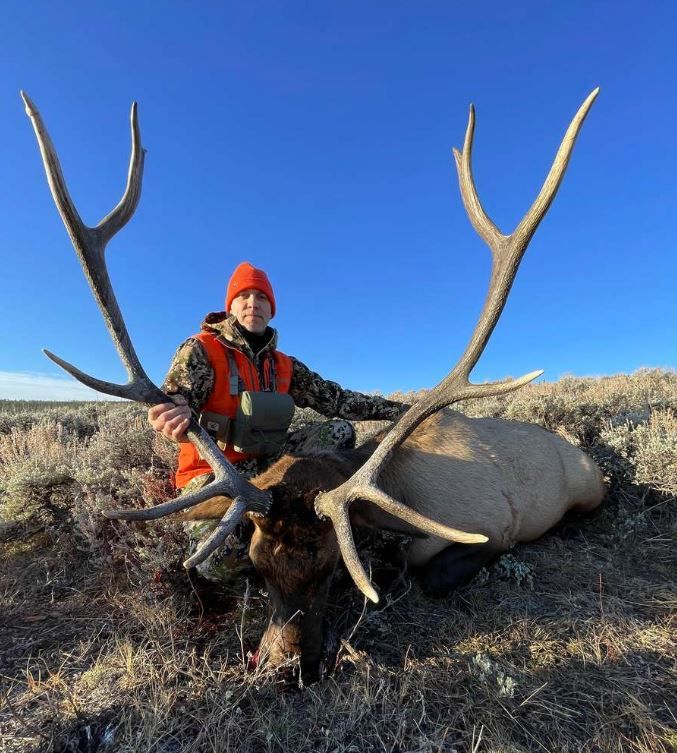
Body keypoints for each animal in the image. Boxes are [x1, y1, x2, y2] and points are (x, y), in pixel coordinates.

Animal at [22, 88, 604, 680]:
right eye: (256, 566)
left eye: (332, 568)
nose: (284, 669)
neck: (395, 497)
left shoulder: (492, 525)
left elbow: (432, 574)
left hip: (589, 489)